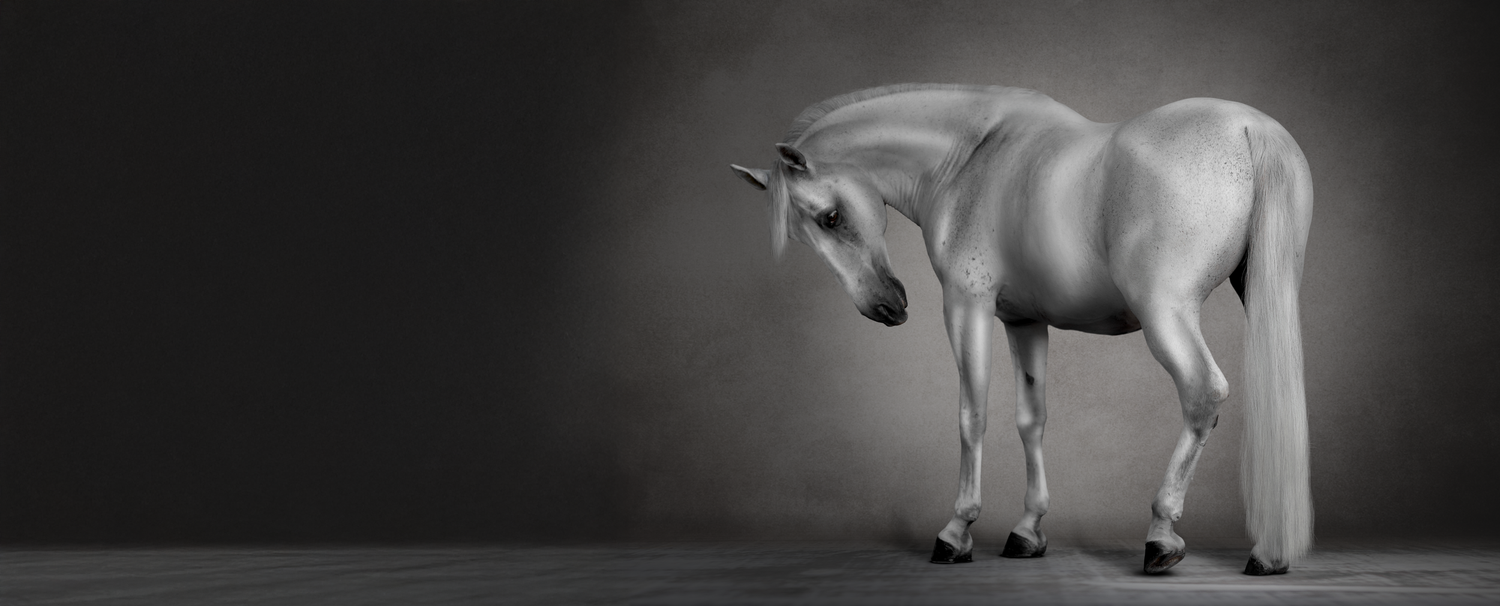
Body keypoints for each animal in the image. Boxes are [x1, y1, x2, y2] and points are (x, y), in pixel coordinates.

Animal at [730, 84, 1312, 576]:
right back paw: (1267, 553)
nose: (886, 306)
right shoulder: (1025, 322)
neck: (969, 157)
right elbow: (1032, 419)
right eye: (805, 233)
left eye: (829, 217)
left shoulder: (967, 306)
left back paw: (1162, 535)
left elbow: (972, 415)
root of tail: (1250, 127)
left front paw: (956, 532)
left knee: (1202, 394)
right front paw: (1027, 531)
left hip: (1166, 313)